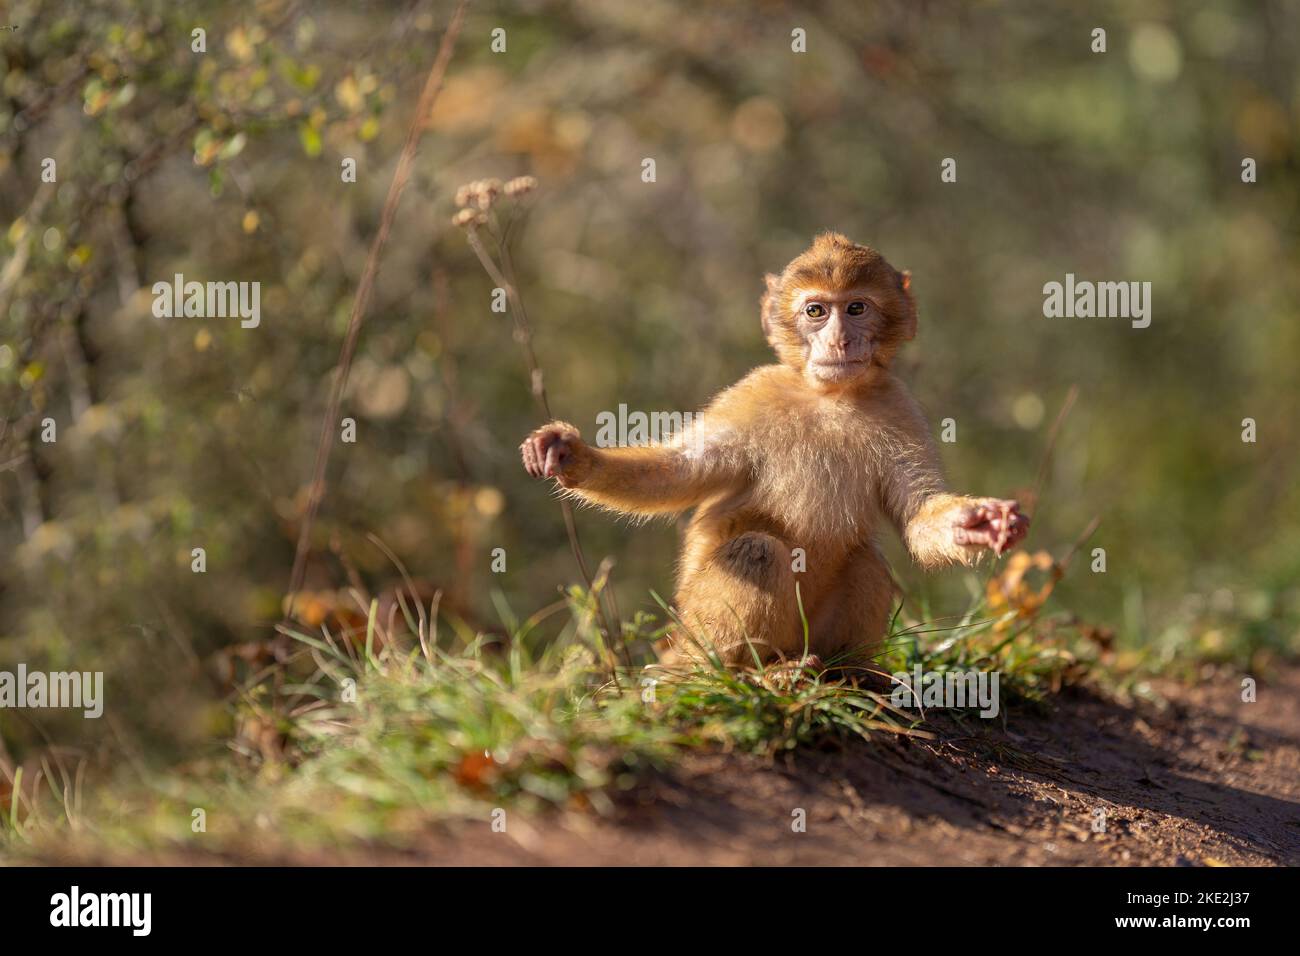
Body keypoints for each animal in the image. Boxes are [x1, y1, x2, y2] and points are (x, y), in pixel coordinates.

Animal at [517, 232, 1024, 671]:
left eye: (857, 308)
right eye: (816, 311)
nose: (839, 340)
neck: (830, 398)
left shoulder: (901, 409)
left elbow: (916, 515)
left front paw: (977, 524)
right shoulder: (752, 394)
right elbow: (679, 472)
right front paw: (573, 456)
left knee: (866, 561)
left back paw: (852, 670)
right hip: (697, 626)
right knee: (757, 551)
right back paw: (749, 672)